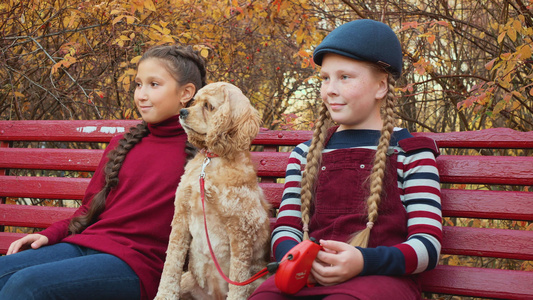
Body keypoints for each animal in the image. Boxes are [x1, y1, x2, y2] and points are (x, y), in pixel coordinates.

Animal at [154, 82, 270, 300]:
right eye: (194, 102)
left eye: (208, 106)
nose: (182, 112)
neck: (211, 159)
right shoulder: (181, 215)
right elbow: (172, 262)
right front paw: (164, 294)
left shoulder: (241, 228)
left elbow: (238, 278)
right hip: (188, 280)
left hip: (258, 281)